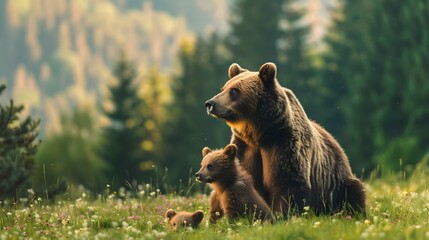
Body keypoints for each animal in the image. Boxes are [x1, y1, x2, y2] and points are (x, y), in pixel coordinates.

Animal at [204, 62, 364, 216]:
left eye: (234, 91)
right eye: (223, 88)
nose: (210, 104)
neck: (259, 133)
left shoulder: (282, 143)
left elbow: (286, 182)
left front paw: (283, 215)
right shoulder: (244, 146)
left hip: (335, 183)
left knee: (354, 191)